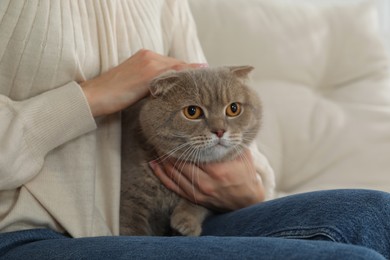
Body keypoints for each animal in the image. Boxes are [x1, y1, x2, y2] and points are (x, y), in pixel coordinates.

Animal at [119, 65, 262, 236]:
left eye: (234, 109)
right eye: (192, 111)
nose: (219, 131)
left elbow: (200, 203)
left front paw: (186, 221)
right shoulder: (131, 198)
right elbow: (132, 229)